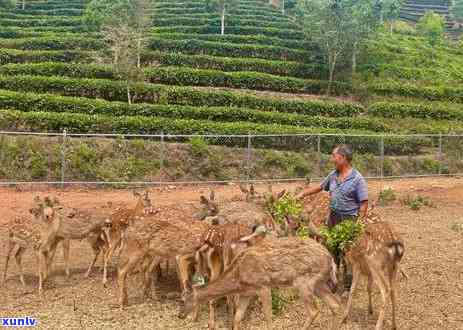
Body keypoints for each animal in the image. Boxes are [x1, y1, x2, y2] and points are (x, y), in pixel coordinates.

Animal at [183, 236, 346, 330]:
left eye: (184, 299)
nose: (180, 315)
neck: (238, 277)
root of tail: (331, 260)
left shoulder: (263, 286)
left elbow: (268, 316)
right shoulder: (246, 294)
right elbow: (237, 318)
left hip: (304, 282)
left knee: (314, 310)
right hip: (319, 283)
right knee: (335, 305)